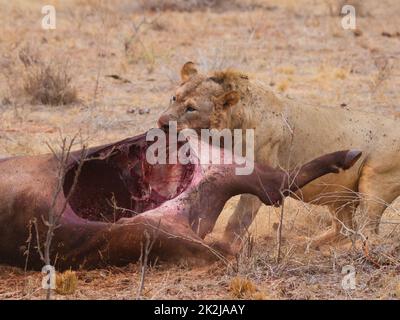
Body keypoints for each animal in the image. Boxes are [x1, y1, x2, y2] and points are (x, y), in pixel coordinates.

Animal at [158, 60, 400, 250]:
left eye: (191, 108)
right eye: (173, 98)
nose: (161, 122)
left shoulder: (261, 183)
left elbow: (238, 219)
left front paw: (222, 248)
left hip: (374, 184)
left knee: (368, 232)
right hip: (339, 194)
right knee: (345, 229)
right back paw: (309, 244)